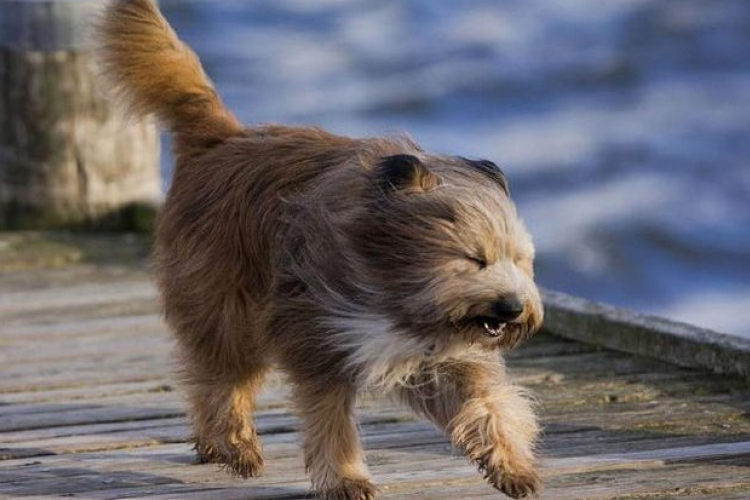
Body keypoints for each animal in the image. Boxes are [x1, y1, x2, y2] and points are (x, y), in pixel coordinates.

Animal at [98, 1, 548, 498]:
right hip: (228, 309)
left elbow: (489, 403)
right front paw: (347, 479)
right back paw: (235, 445)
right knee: (221, 380)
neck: (392, 285)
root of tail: (223, 138)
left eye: (520, 261)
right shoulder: (319, 338)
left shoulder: (444, 357)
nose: (513, 308)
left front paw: (512, 465)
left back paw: (215, 446)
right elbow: (331, 423)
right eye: (474, 259)